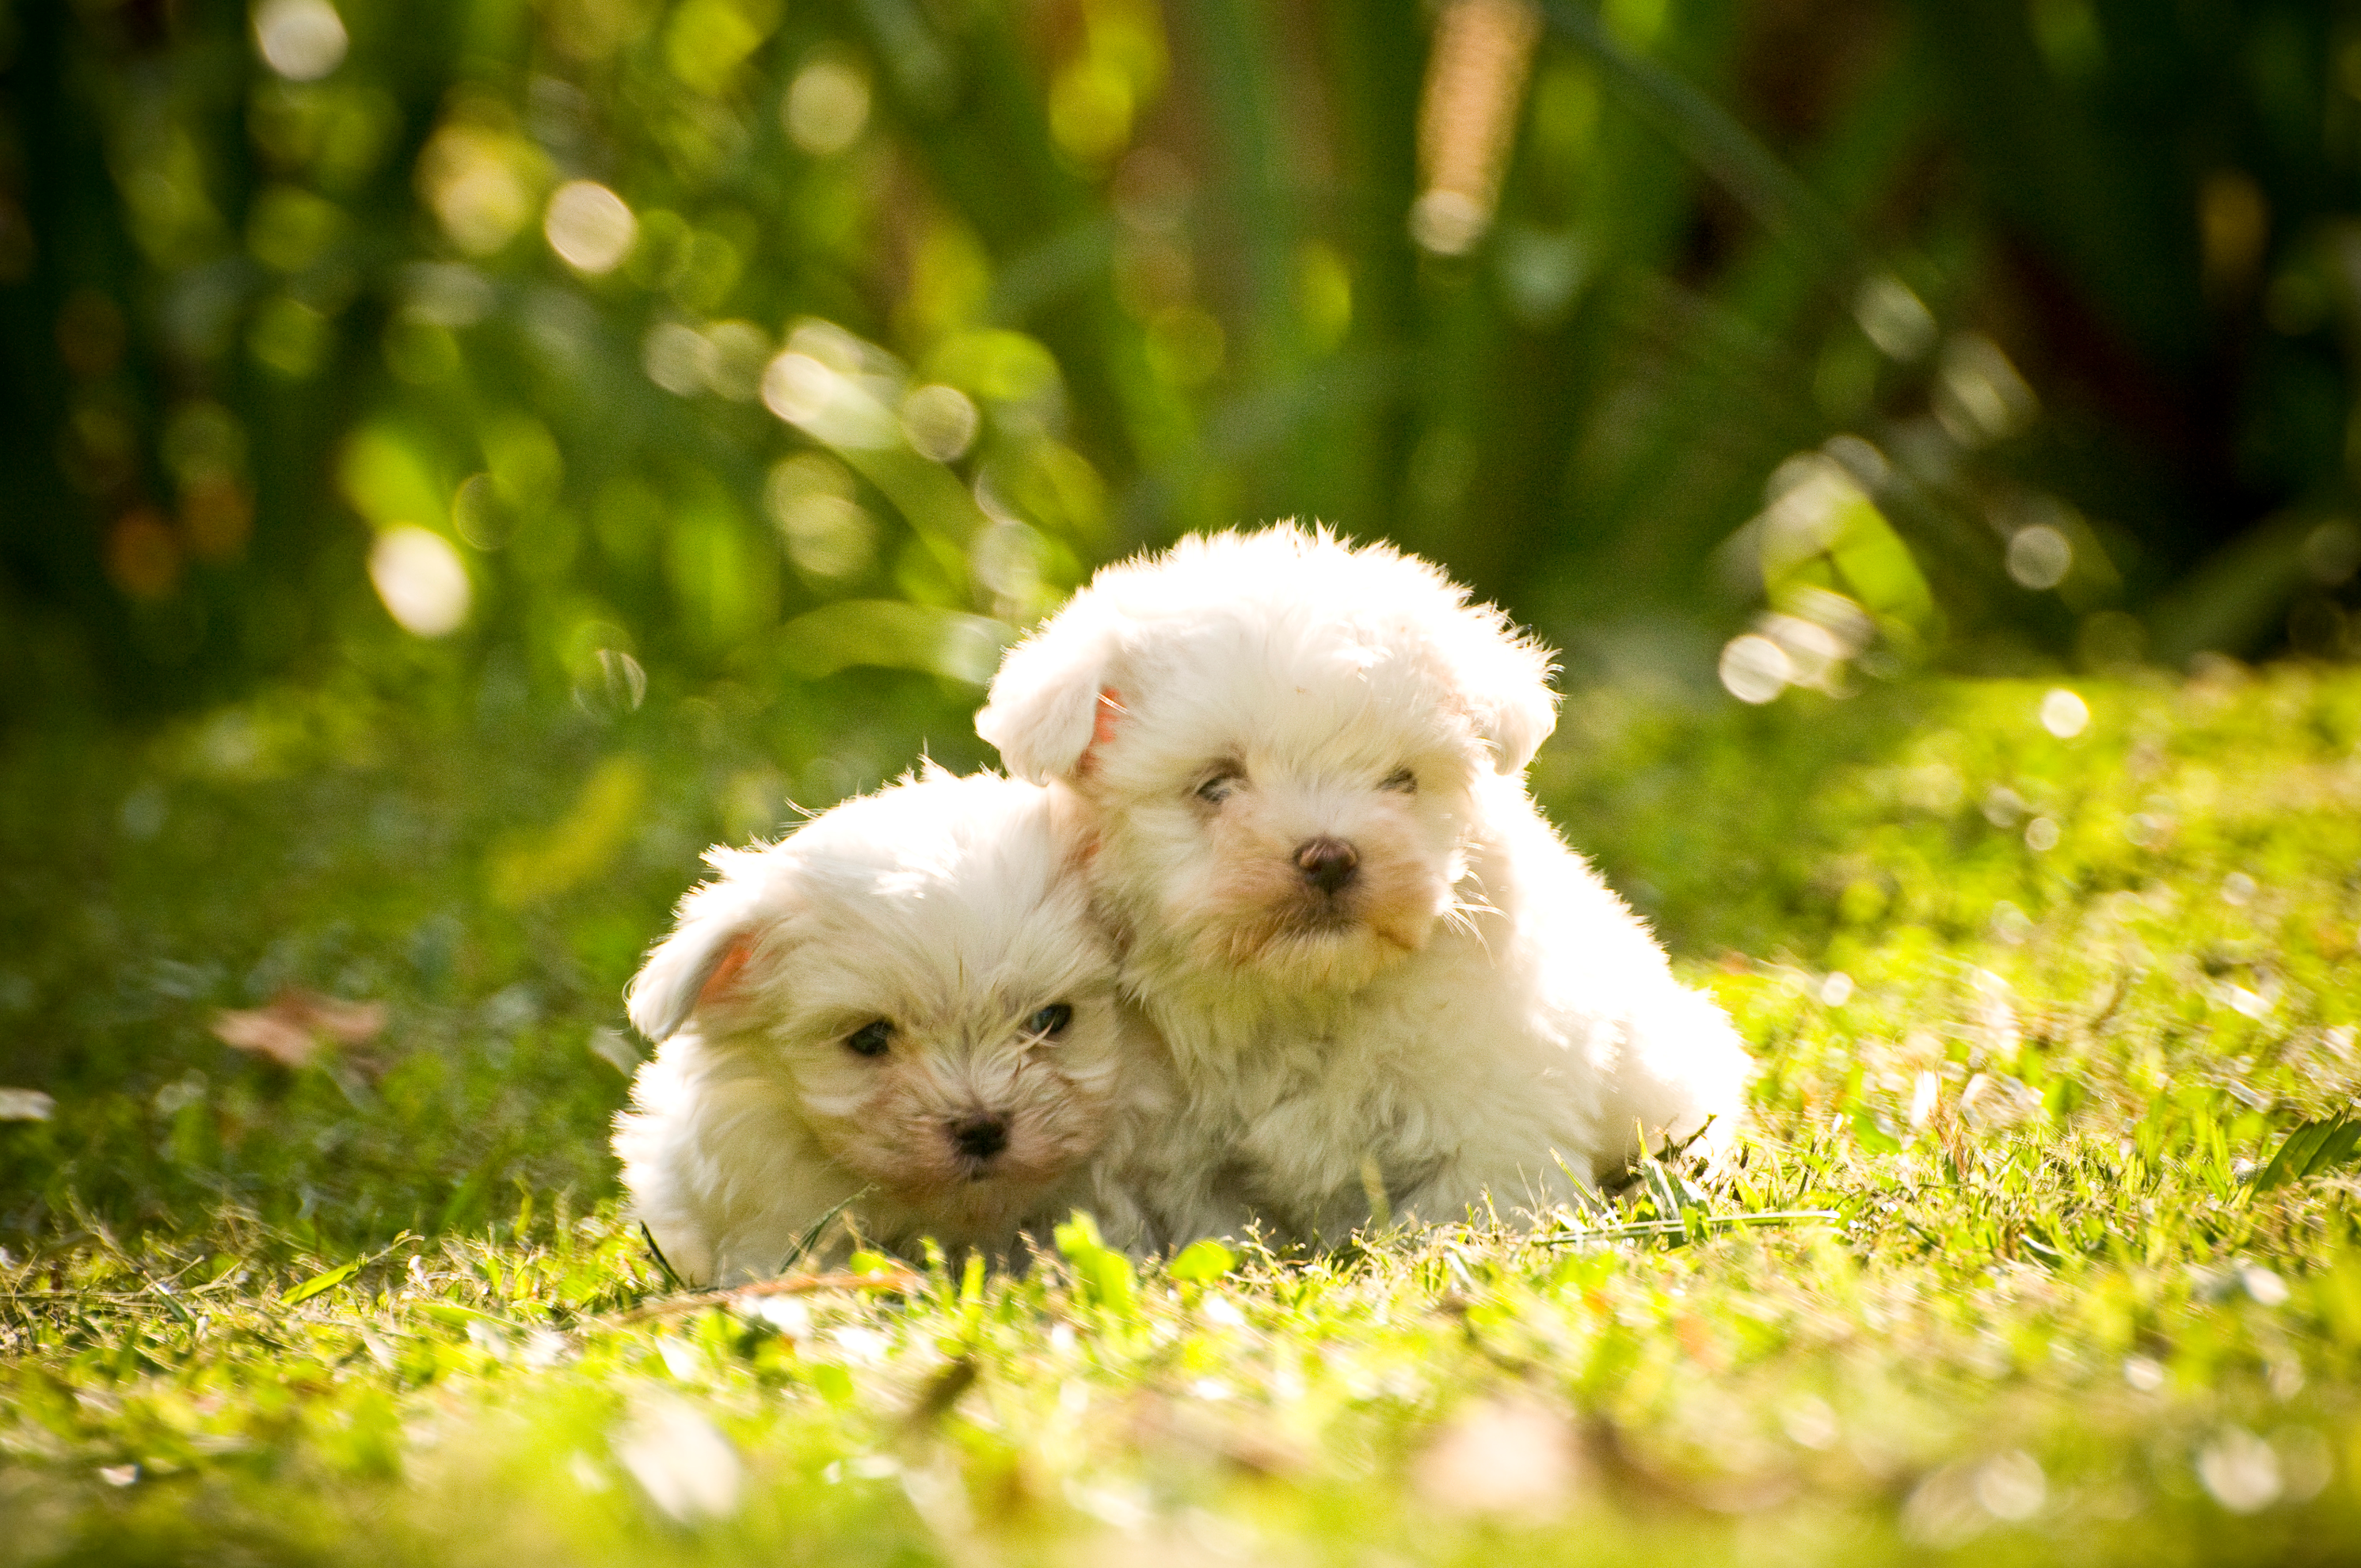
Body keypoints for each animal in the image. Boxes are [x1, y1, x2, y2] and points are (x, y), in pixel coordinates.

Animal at [977, 526, 1756, 1246]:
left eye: (1399, 780)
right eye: (1216, 785)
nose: (1328, 856)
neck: (1307, 995)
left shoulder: (1494, 1116)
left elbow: (1459, 1212)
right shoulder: (1189, 1162)